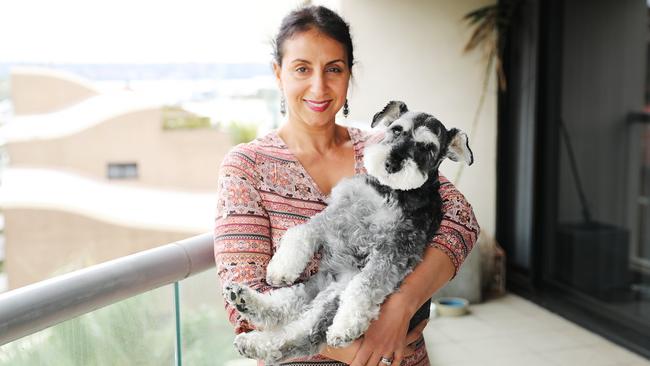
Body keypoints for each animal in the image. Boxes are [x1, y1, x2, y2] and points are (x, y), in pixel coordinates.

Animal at [223, 100, 470, 364]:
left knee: (302, 334)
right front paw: (281, 268)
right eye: (396, 130)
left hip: (331, 298)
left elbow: (365, 285)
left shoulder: (395, 250)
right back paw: (245, 301)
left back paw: (255, 342)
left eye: (426, 147)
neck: (390, 192)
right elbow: (302, 231)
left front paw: (345, 326)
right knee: (286, 303)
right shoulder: (335, 215)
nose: (391, 164)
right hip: (318, 283)